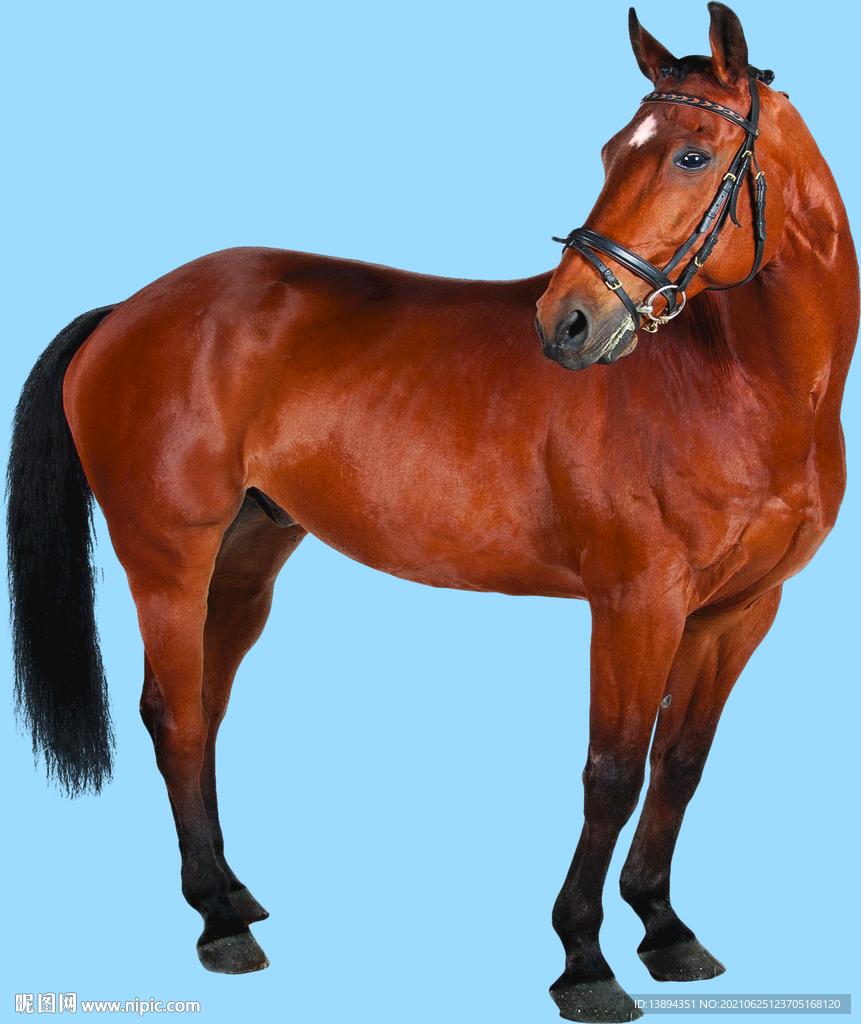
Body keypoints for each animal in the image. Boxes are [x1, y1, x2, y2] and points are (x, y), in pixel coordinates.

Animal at [7, 3, 857, 1021]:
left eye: (692, 156)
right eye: (612, 149)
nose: (566, 323)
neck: (741, 387)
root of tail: (128, 310)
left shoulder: (737, 613)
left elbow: (679, 765)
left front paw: (665, 929)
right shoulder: (634, 603)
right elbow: (610, 775)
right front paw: (585, 960)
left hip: (246, 560)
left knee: (205, 711)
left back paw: (233, 894)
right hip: (166, 560)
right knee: (172, 714)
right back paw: (216, 922)